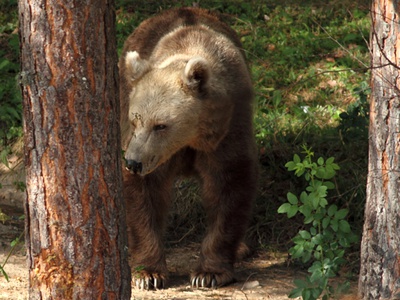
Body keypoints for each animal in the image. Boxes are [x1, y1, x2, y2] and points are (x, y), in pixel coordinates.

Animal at [117, 7, 258, 290]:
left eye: (160, 125)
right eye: (135, 120)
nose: (134, 163)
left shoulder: (227, 130)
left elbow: (229, 186)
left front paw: (209, 272)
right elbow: (144, 195)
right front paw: (148, 273)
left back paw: (242, 247)